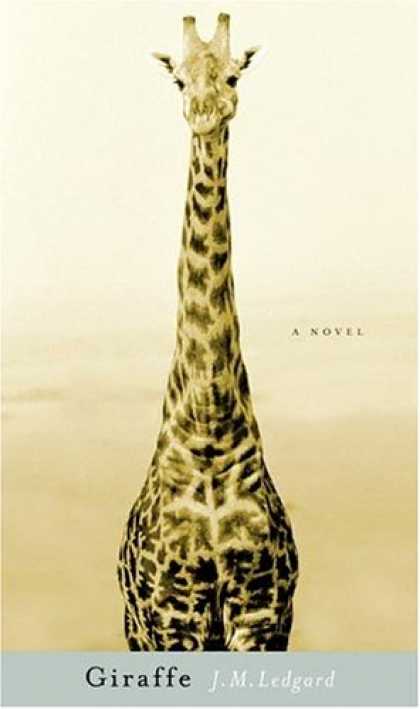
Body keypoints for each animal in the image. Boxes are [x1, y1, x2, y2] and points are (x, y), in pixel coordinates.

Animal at [118, 13, 298, 651]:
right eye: (179, 79)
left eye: (233, 73)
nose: (204, 110)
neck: (208, 435)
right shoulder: (175, 614)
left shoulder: (260, 611)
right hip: (135, 630)